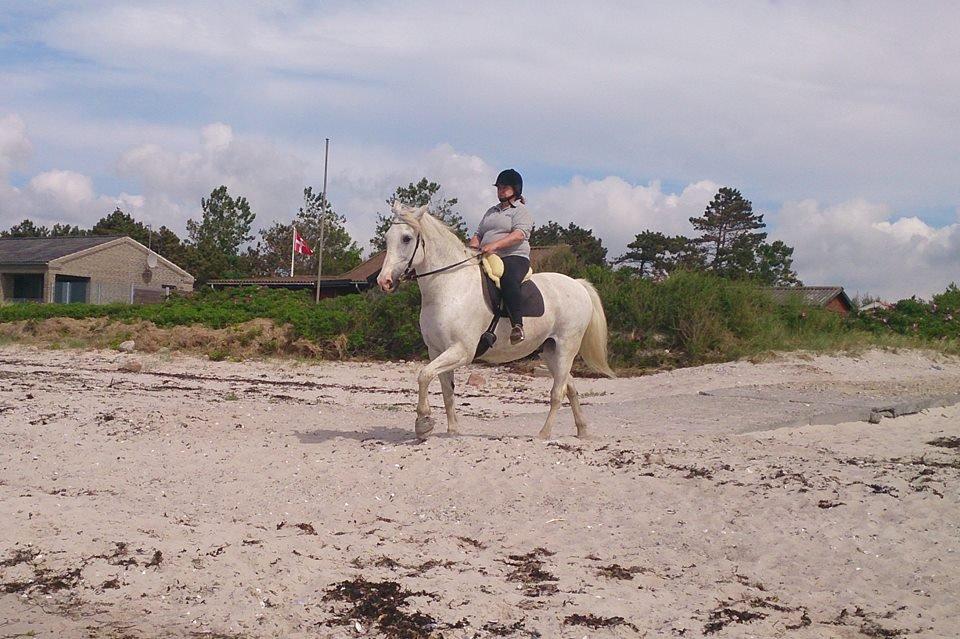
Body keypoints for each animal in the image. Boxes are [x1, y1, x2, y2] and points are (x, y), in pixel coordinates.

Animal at [376, 205, 616, 440]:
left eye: (406, 238)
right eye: (387, 237)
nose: (384, 281)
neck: (450, 286)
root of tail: (577, 284)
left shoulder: (461, 351)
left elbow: (424, 375)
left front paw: (423, 422)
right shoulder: (436, 350)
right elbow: (446, 391)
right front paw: (452, 430)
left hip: (567, 347)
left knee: (558, 392)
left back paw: (544, 434)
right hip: (550, 351)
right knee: (569, 386)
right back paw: (582, 431)